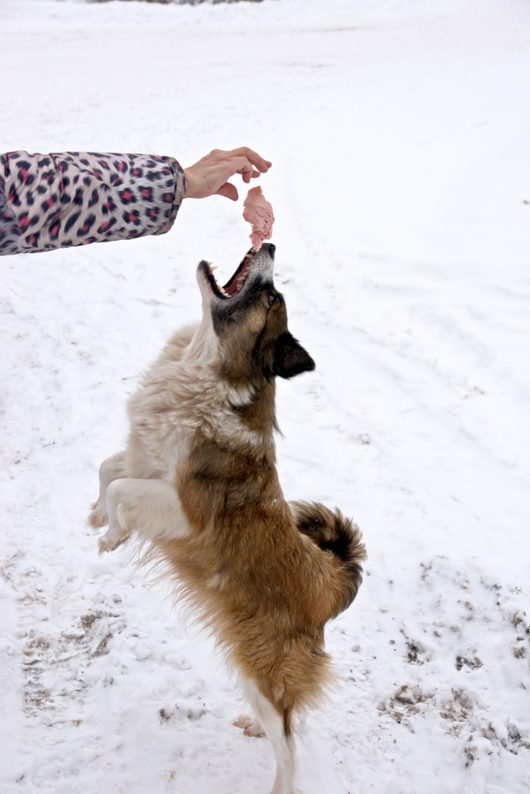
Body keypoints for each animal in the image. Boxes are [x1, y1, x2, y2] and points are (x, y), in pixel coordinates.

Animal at [89, 241, 364, 792]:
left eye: (272, 296)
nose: (270, 244)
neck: (206, 372)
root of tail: (330, 583)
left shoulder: (183, 512)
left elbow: (122, 489)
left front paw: (114, 536)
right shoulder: (146, 460)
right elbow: (108, 470)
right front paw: (97, 518)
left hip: (262, 672)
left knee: (289, 750)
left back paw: (278, 779)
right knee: (292, 724)